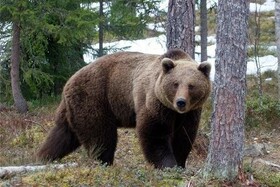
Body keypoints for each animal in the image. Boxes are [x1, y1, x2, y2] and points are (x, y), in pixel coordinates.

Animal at [38, 49, 211, 169]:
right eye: (175, 84)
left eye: (191, 85)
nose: (181, 102)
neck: (173, 111)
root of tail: (69, 80)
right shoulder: (154, 103)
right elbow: (155, 134)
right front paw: (168, 165)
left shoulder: (190, 113)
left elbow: (184, 136)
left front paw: (180, 163)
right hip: (94, 99)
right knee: (101, 136)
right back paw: (104, 162)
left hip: (73, 108)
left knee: (62, 135)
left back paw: (42, 157)